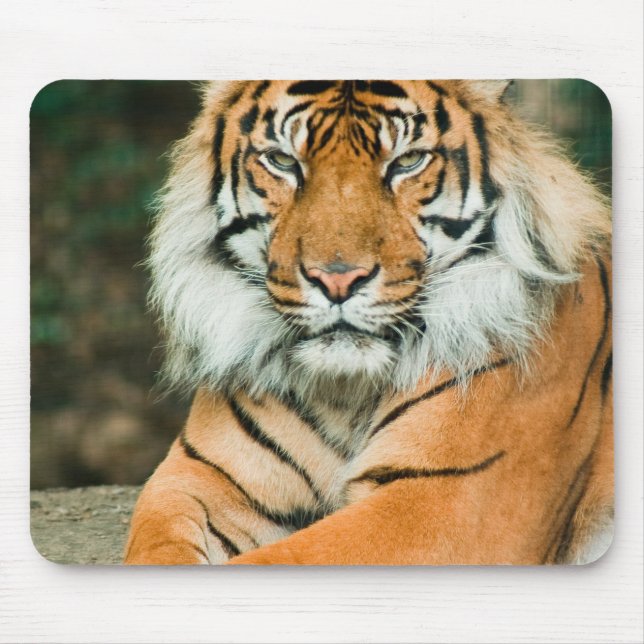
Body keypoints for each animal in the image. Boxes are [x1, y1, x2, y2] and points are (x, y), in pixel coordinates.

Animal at [124, 80, 613, 565]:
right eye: (283, 161)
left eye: (408, 162)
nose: (337, 280)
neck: (345, 393)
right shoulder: (198, 476)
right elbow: (156, 548)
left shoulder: (447, 500)